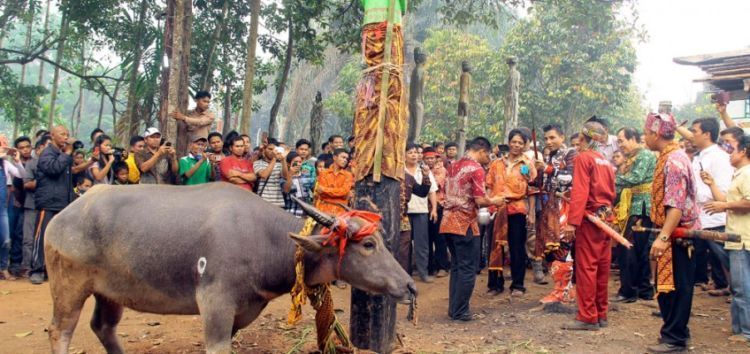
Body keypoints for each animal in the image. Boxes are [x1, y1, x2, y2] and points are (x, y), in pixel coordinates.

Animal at [45, 183, 418, 354]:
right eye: (368, 246)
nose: (410, 286)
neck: (266, 238)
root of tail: (61, 218)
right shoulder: (215, 305)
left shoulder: (244, 310)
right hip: (69, 288)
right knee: (60, 331)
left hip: (110, 293)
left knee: (103, 326)